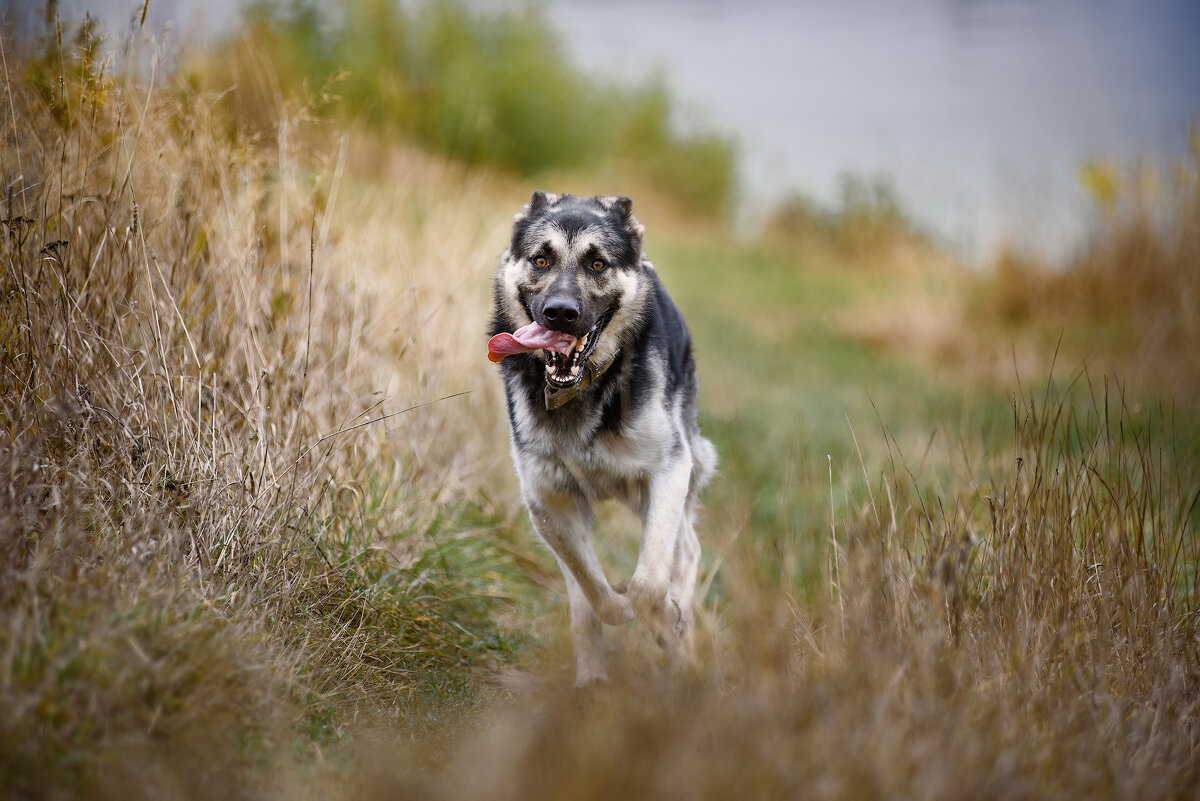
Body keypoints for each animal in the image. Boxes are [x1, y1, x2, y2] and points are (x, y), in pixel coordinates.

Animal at [484, 190, 710, 685]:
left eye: (598, 264)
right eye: (541, 259)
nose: (560, 314)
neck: (584, 389)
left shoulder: (668, 471)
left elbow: (647, 584)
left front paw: (664, 620)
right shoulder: (548, 502)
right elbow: (593, 589)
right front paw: (619, 610)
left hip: (660, 487)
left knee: (686, 551)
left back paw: (682, 641)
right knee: (581, 597)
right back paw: (592, 678)